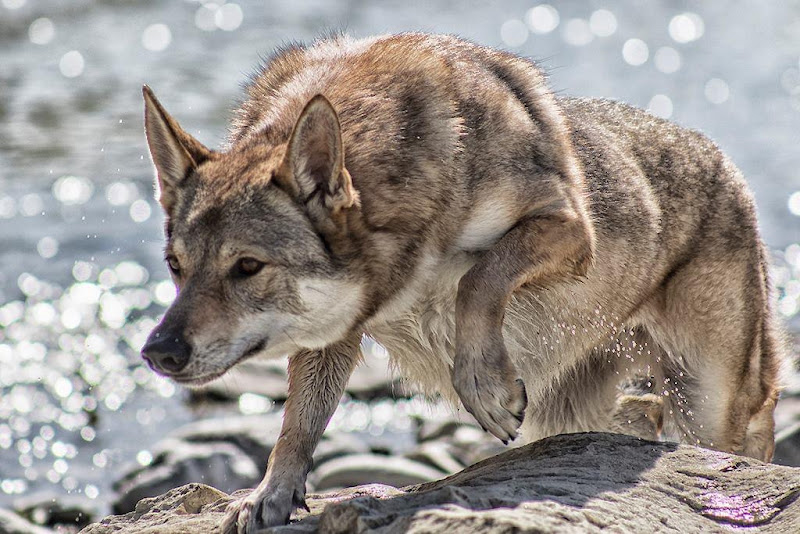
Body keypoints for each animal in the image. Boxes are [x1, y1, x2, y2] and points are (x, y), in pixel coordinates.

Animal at [141, 34, 784, 534]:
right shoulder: (336, 330)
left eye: (247, 267)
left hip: (708, 406)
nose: (158, 353)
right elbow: (296, 423)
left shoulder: (570, 229)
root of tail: (726, 164)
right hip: (569, 417)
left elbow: (479, 277)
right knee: (639, 414)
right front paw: (268, 497)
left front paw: (483, 385)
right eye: (175, 265)